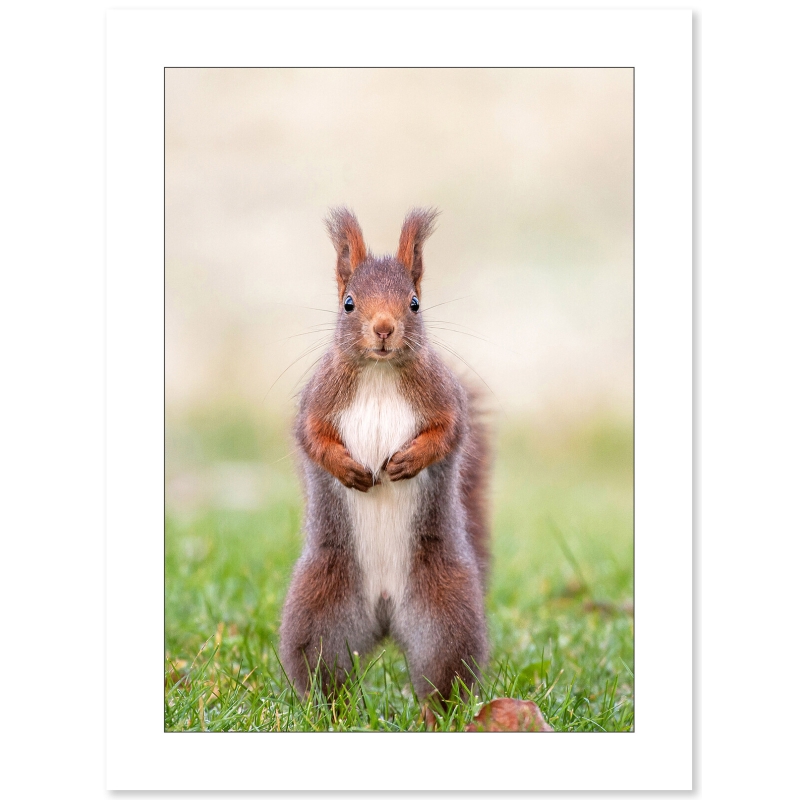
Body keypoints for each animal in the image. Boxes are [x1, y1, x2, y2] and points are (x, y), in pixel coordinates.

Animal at [279, 208, 490, 703]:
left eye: (414, 303)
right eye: (348, 303)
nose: (383, 328)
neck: (378, 373)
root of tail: (386, 610)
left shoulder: (444, 399)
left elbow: (448, 432)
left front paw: (408, 462)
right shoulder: (317, 402)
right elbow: (311, 437)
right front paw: (348, 469)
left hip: (445, 617)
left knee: (444, 678)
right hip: (320, 612)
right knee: (322, 672)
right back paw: (327, 711)